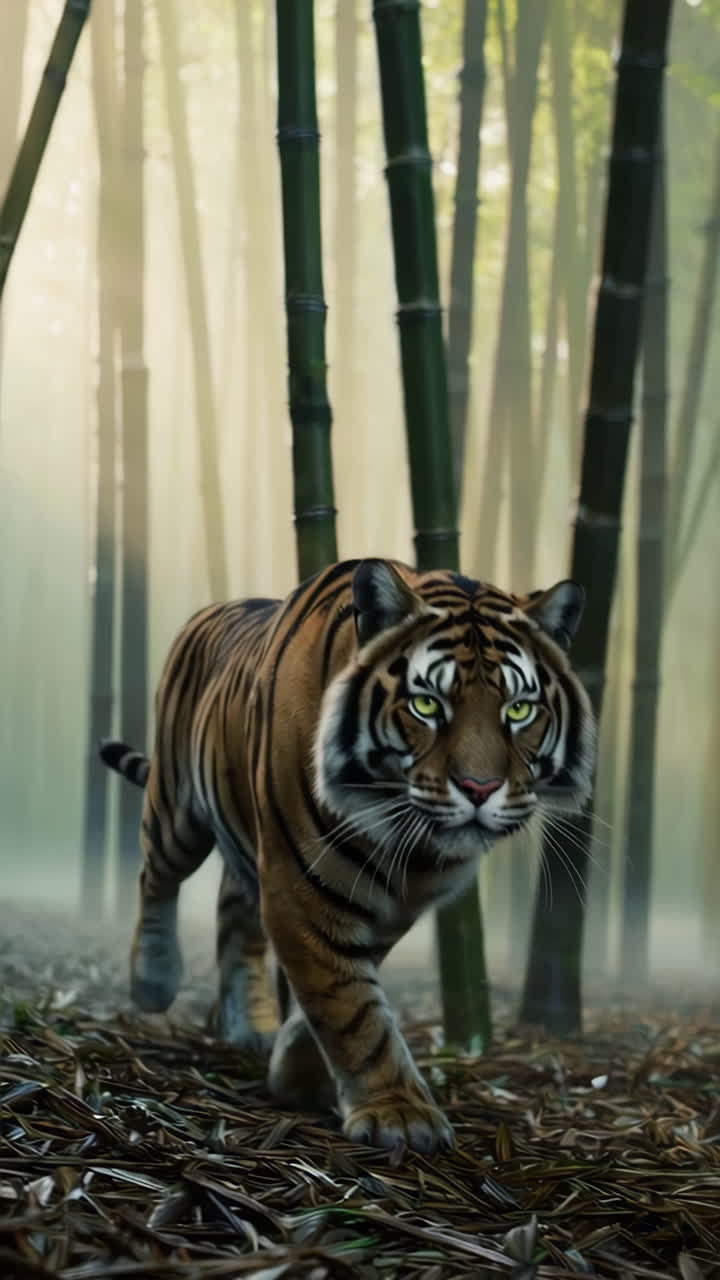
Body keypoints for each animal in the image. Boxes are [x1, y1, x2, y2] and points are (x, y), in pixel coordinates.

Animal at [100, 557, 596, 1153]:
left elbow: (347, 988)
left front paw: (297, 1070)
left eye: (519, 710)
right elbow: (351, 1007)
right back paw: (153, 979)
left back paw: (253, 1027)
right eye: (427, 704)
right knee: (156, 876)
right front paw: (399, 1115)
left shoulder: (391, 902)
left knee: (235, 916)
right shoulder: (300, 884)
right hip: (177, 808)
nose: (480, 789)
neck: (409, 842)